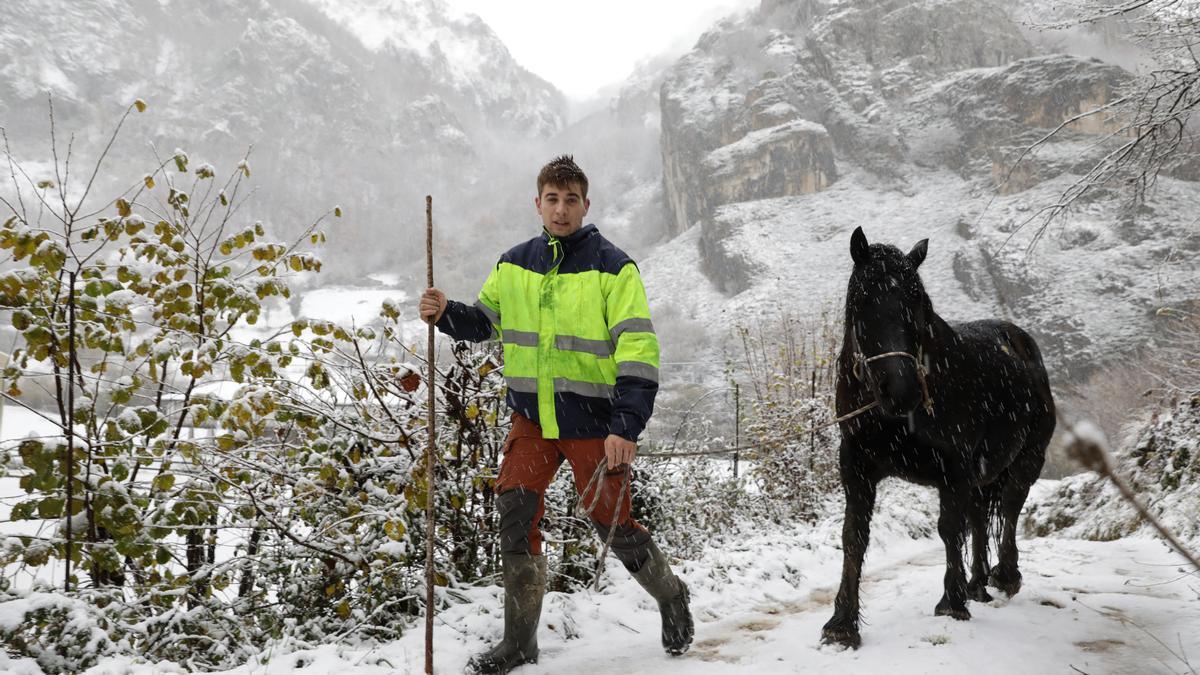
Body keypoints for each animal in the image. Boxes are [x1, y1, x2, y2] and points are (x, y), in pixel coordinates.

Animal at [820, 225, 1056, 648]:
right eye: (861, 303)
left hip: (1027, 458)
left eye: (917, 303)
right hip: (982, 473)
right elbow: (854, 536)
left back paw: (1004, 576)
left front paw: (951, 602)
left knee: (1010, 508)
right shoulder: (856, 466)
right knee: (980, 517)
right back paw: (978, 584)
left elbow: (949, 529)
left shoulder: (954, 468)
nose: (902, 391)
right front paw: (842, 623)